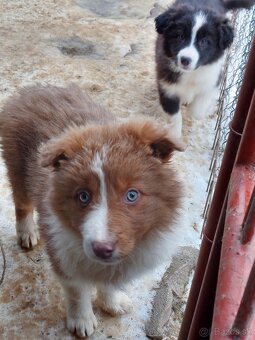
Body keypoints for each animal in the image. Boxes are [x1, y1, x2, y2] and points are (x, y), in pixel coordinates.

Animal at [0, 84, 184, 338]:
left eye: (132, 195)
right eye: (83, 196)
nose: (102, 248)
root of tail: (32, 90)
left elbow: (109, 283)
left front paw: (112, 303)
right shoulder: (63, 254)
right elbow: (78, 292)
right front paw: (82, 321)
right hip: (17, 166)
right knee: (22, 204)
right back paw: (27, 233)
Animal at [154, 0, 254, 137]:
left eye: (205, 41)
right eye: (180, 36)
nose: (185, 60)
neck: (191, 74)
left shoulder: (212, 81)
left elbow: (197, 111)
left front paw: (199, 110)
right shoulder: (167, 87)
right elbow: (175, 116)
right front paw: (175, 135)